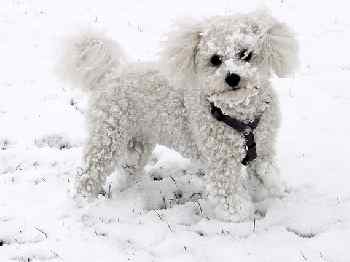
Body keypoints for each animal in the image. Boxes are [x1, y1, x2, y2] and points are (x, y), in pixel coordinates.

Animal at [59, 11, 298, 222]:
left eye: (245, 54)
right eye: (215, 59)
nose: (232, 78)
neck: (240, 115)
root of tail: (110, 74)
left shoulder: (263, 149)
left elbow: (265, 172)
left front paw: (271, 189)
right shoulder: (221, 161)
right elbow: (226, 192)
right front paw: (236, 215)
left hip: (137, 142)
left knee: (128, 169)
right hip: (107, 138)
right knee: (89, 172)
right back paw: (83, 199)